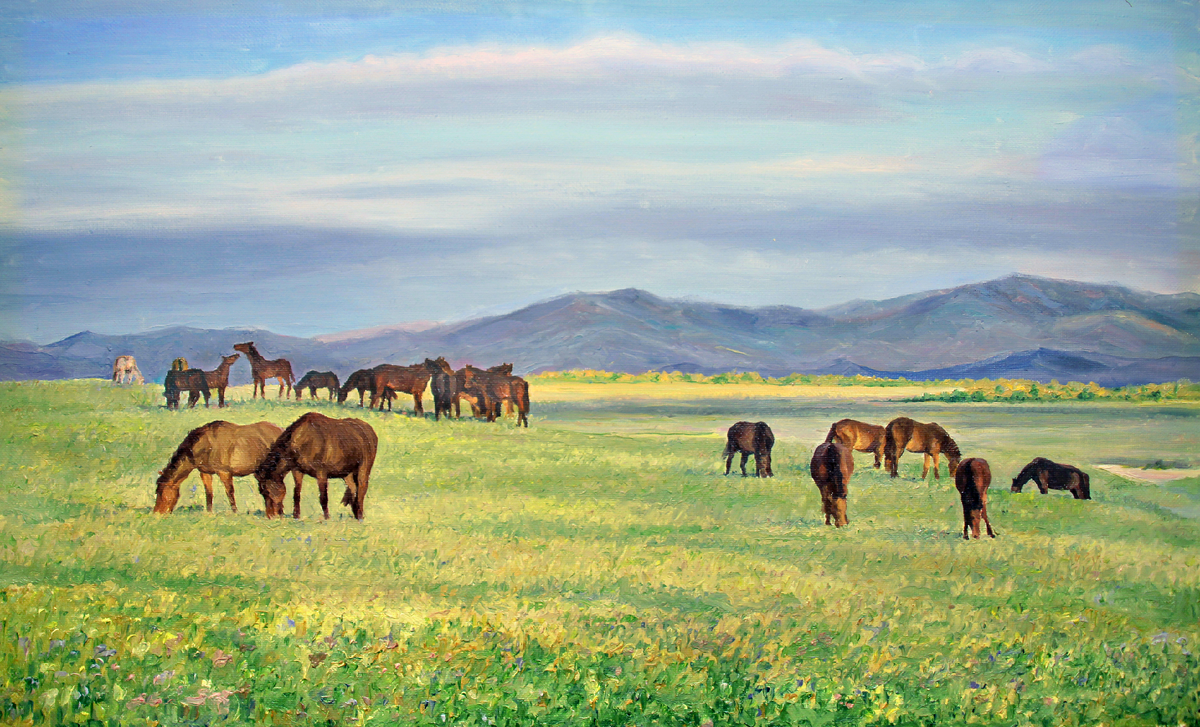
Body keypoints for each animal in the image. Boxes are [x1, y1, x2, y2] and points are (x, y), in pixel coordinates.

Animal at [152, 419, 283, 515]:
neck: (206, 444)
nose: (156, 514)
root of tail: (280, 429)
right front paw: (209, 512)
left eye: (162, 494)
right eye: (157, 493)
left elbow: (230, 492)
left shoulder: (224, 472)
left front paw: (235, 512)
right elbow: (209, 492)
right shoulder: (205, 472)